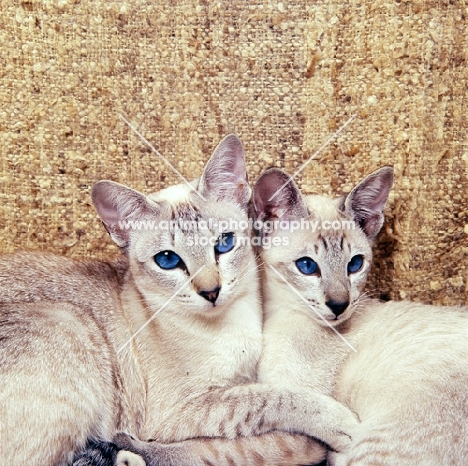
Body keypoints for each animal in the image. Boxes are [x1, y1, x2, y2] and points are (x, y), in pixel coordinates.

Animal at [0, 133, 358, 464]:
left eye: (224, 243)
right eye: (168, 260)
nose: (211, 291)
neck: (231, 324)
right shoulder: (177, 411)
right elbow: (268, 399)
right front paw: (341, 423)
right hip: (69, 321)